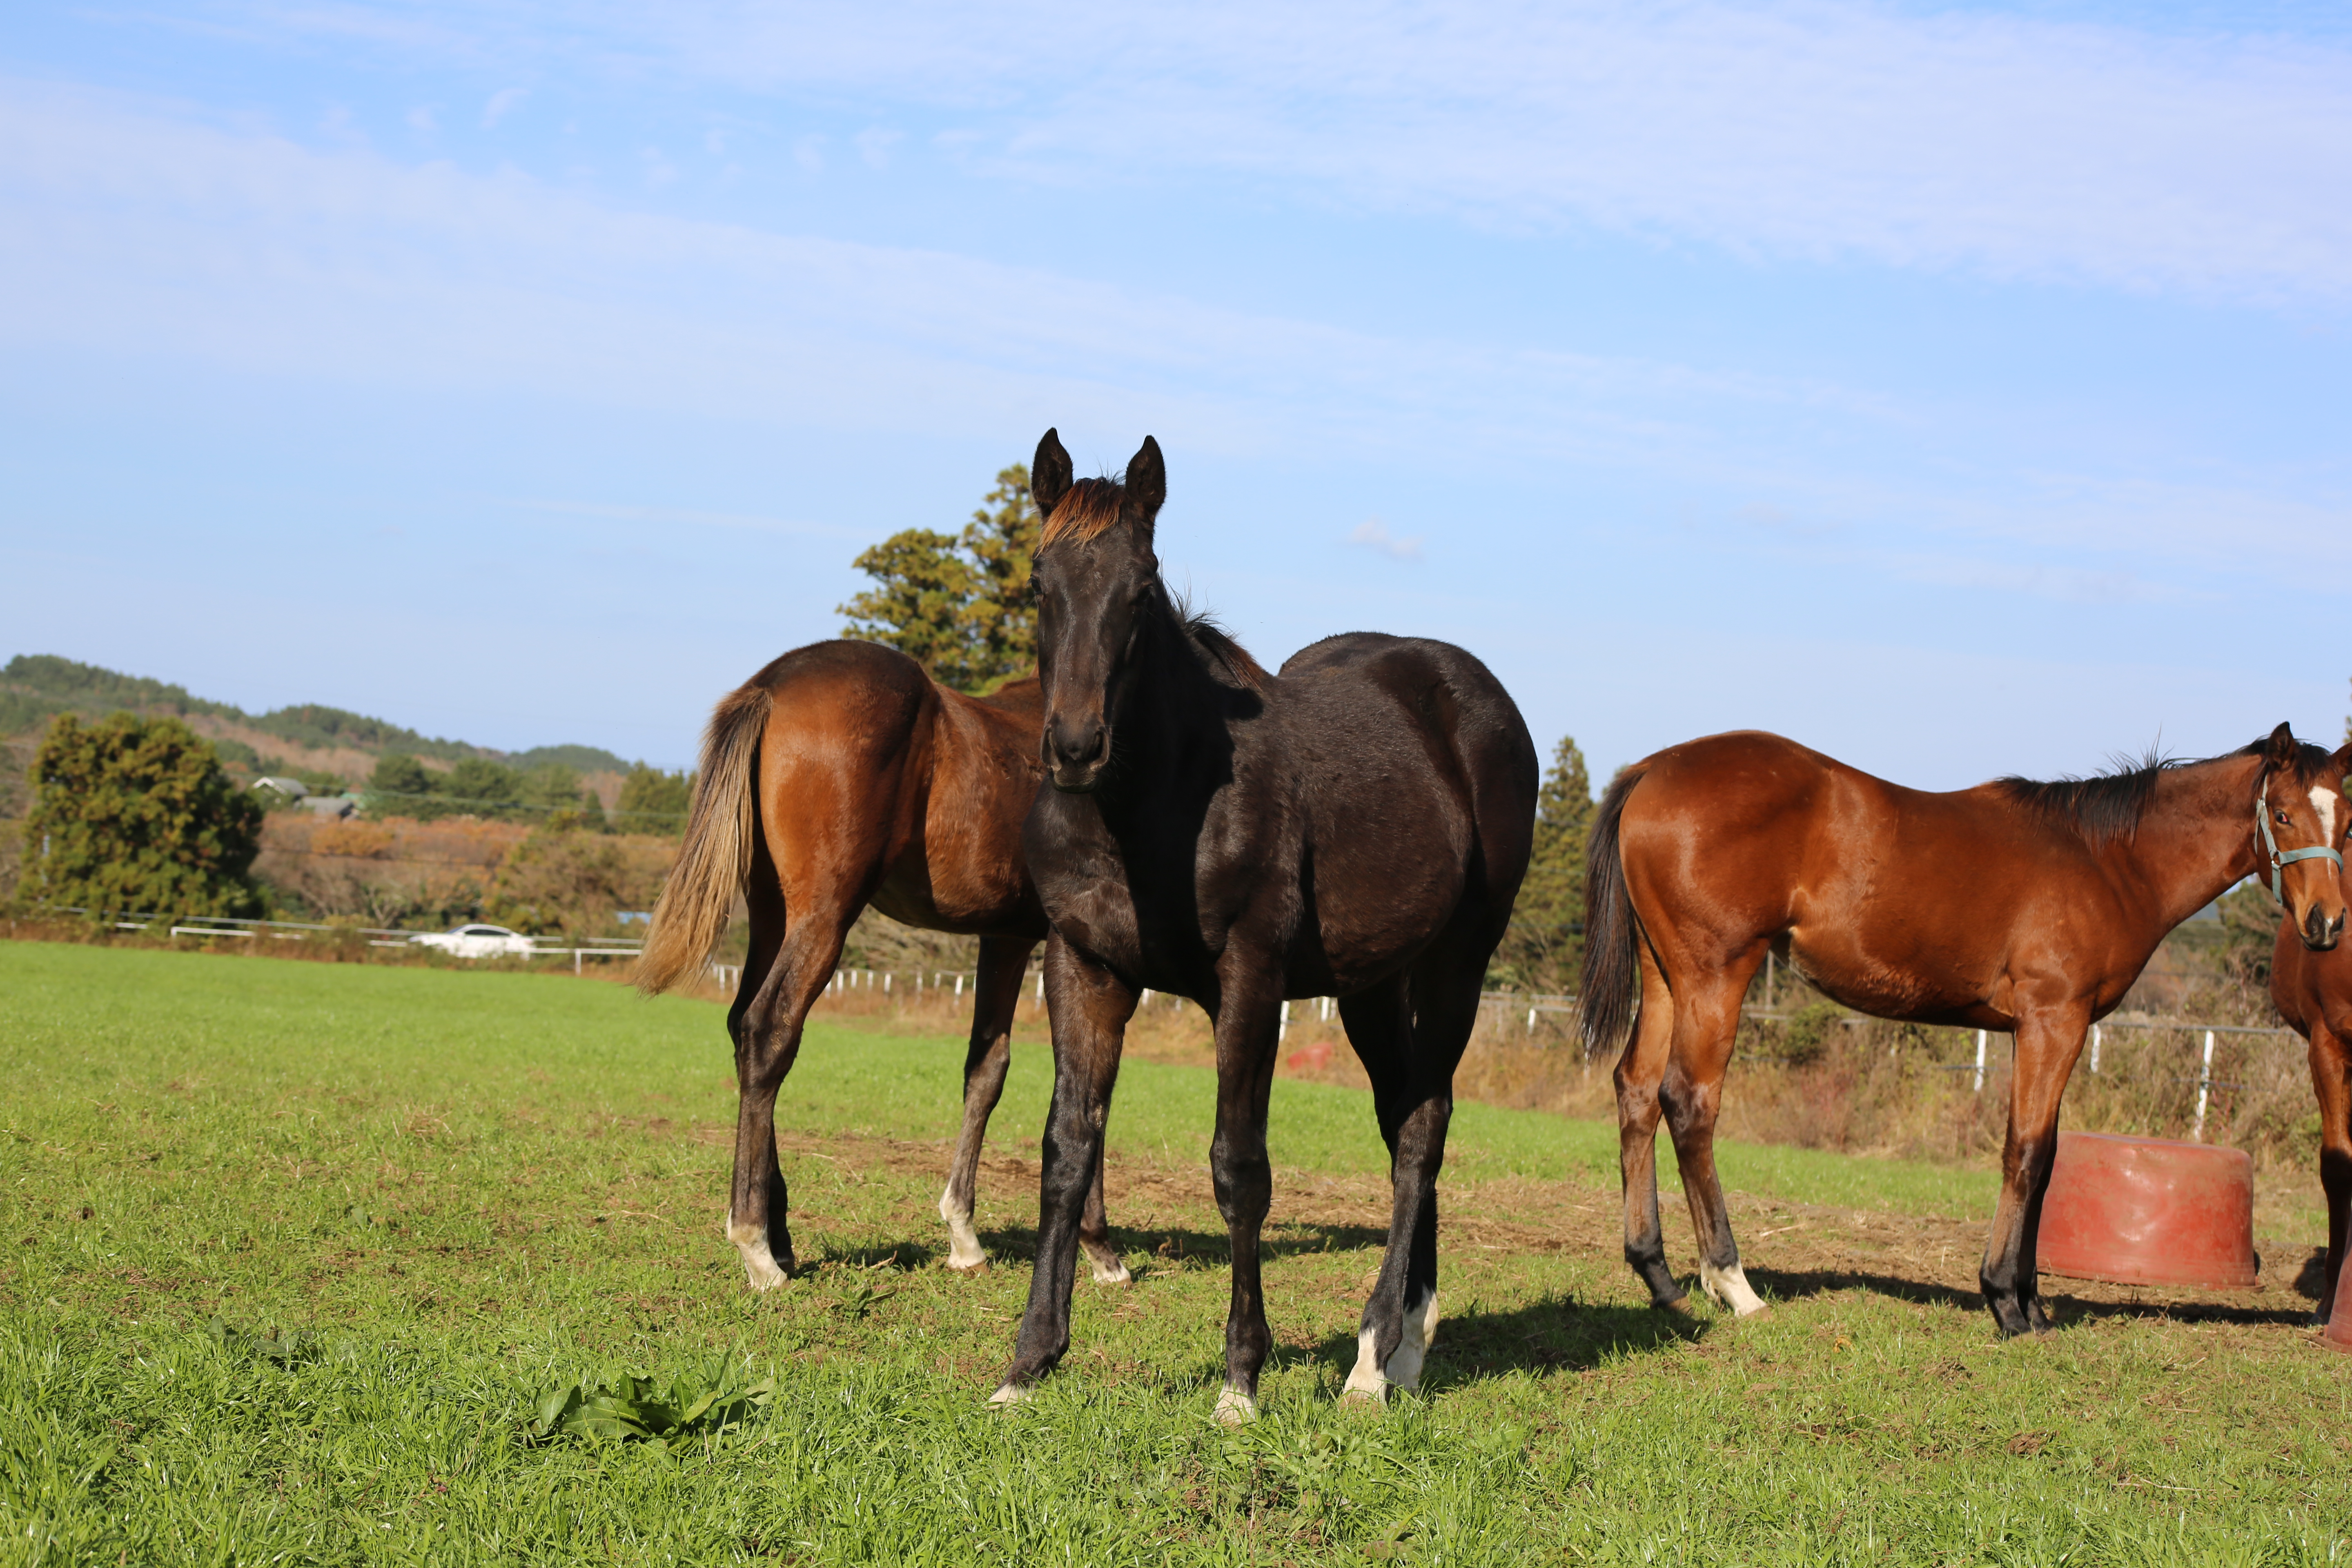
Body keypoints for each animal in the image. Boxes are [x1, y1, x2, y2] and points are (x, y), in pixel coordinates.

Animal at [635, 639, 1129, 1288]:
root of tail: (773, 683)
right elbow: (1089, 1083)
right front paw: (1100, 1249)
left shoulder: (1005, 938)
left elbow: (987, 1070)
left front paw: (963, 1235)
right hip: (825, 915)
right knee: (768, 1031)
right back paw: (757, 1248)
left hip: (773, 911)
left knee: (742, 1028)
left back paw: (780, 1236)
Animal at [992, 432, 1543, 1420]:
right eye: (1038, 580)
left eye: (1142, 588)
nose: (1077, 748)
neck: (1151, 802)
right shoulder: (1083, 967)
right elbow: (1067, 1151)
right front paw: (1029, 1362)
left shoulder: (1248, 981)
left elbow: (1238, 1168)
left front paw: (1241, 1379)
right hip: (1371, 986)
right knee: (1404, 1118)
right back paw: (1411, 1340)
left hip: (1458, 963)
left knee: (1423, 1127)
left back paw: (1374, 1358)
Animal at [1590, 724, 2342, 1335]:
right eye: (2282, 813)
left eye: (2348, 822)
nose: (2328, 924)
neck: (2107, 860)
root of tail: (1652, 770)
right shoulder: (2051, 1022)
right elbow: (2027, 1152)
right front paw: (2006, 1303)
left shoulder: (2050, 1031)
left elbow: (2049, 1159)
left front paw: (2034, 1305)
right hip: (1717, 975)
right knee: (1689, 1103)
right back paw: (1733, 1284)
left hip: (1667, 977)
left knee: (1637, 1091)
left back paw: (1660, 1279)